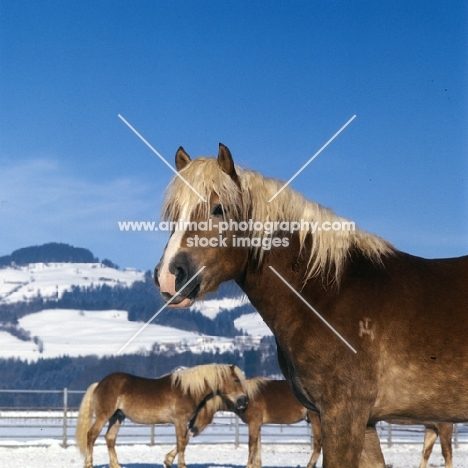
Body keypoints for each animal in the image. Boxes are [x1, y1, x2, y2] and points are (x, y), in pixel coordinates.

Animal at [75, 366, 247, 468]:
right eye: (236, 379)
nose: (244, 400)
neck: (188, 390)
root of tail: (99, 384)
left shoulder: (183, 422)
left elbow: (184, 441)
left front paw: (168, 460)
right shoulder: (180, 421)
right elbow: (182, 442)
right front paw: (181, 465)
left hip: (117, 417)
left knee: (110, 438)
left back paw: (116, 465)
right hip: (104, 415)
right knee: (91, 435)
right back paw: (89, 464)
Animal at [186, 378, 322, 468]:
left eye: (199, 410)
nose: (190, 430)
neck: (246, 398)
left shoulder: (253, 424)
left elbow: (252, 447)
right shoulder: (258, 425)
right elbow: (258, 447)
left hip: (315, 419)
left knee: (318, 444)